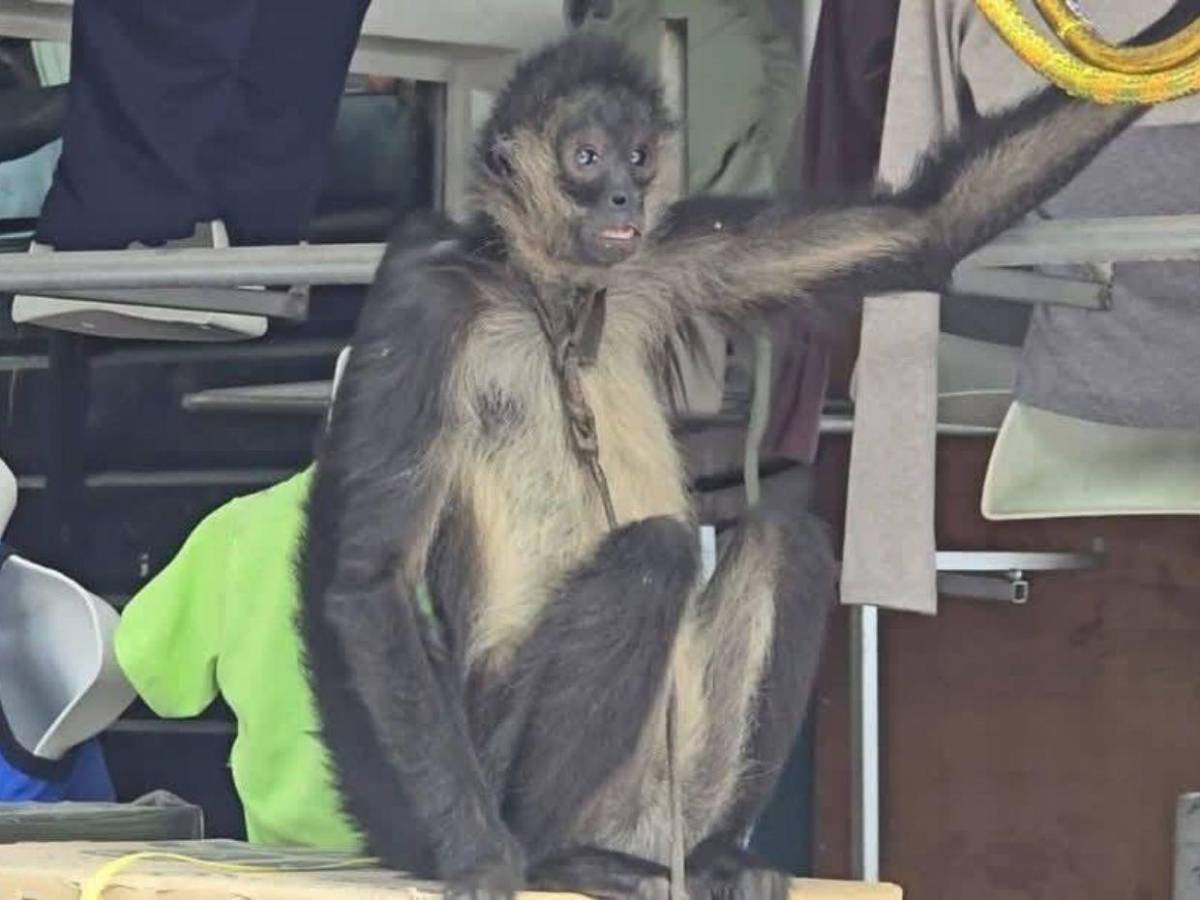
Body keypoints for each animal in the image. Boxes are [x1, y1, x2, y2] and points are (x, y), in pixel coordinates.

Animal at [297, 7, 1196, 899]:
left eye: (637, 156)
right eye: (585, 156)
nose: (623, 193)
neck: (553, 291)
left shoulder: (674, 248)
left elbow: (924, 226)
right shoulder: (426, 294)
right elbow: (368, 581)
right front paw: (479, 859)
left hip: (683, 767)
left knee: (786, 537)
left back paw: (720, 857)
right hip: (494, 738)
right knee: (653, 557)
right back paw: (556, 856)